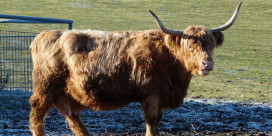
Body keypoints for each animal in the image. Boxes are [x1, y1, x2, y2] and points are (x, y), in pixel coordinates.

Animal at [29, 1, 242, 135]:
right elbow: (151, 126)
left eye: (211, 45)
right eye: (190, 46)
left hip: (67, 94)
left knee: (73, 118)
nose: (208, 63)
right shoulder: (151, 98)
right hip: (45, 89)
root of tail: (45, 35)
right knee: (37, 117)